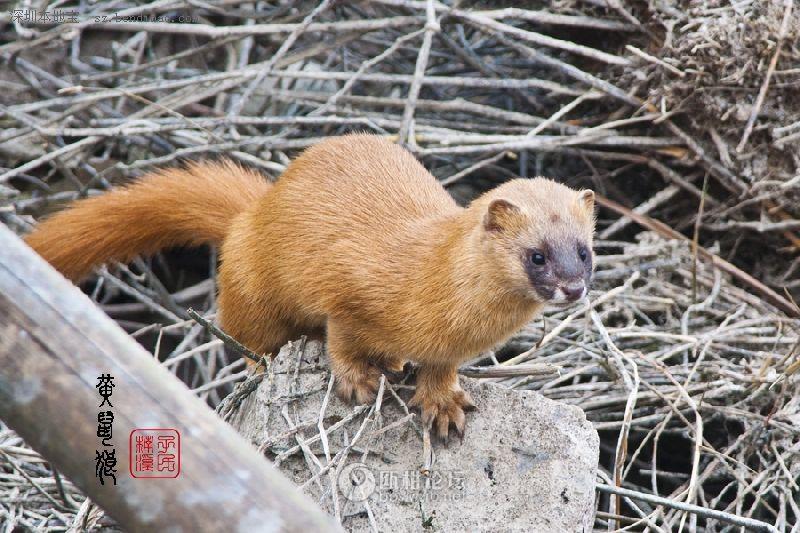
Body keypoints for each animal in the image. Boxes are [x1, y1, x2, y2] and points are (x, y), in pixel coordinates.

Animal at [23, 135, 592, 438]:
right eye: (537, 254)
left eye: (584, 250)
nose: (572, 287)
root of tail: (253, 212)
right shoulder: (349, 287)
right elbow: (341, 334)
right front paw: (357, 381)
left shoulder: (446, 347)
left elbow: (440, 370)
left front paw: (444, 405)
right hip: (250, 293)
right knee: (251, 341)